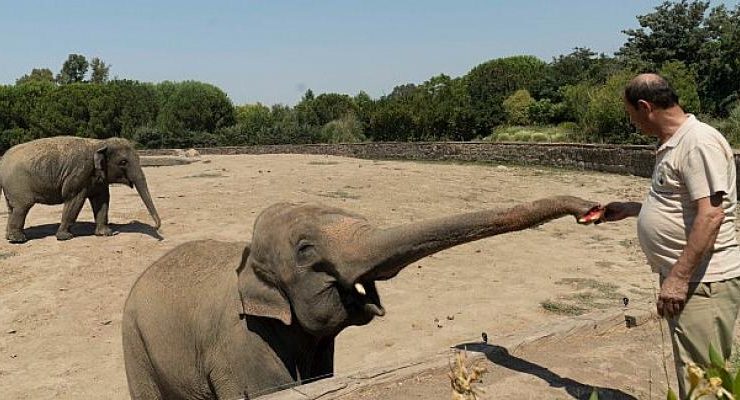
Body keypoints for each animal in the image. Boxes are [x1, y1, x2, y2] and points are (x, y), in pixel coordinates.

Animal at [0, 136, 161, 242]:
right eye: (123, 162)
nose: (157, 226)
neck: (100, 143)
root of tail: (3, 159)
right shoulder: (79, 174)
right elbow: (74, 200)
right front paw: (65, 237)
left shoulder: (98, 179)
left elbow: (102, 200)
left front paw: (106, 233)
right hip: (18, 184)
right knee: (22, 207)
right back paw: (18, 239)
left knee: (12, 209)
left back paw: (9, 237)